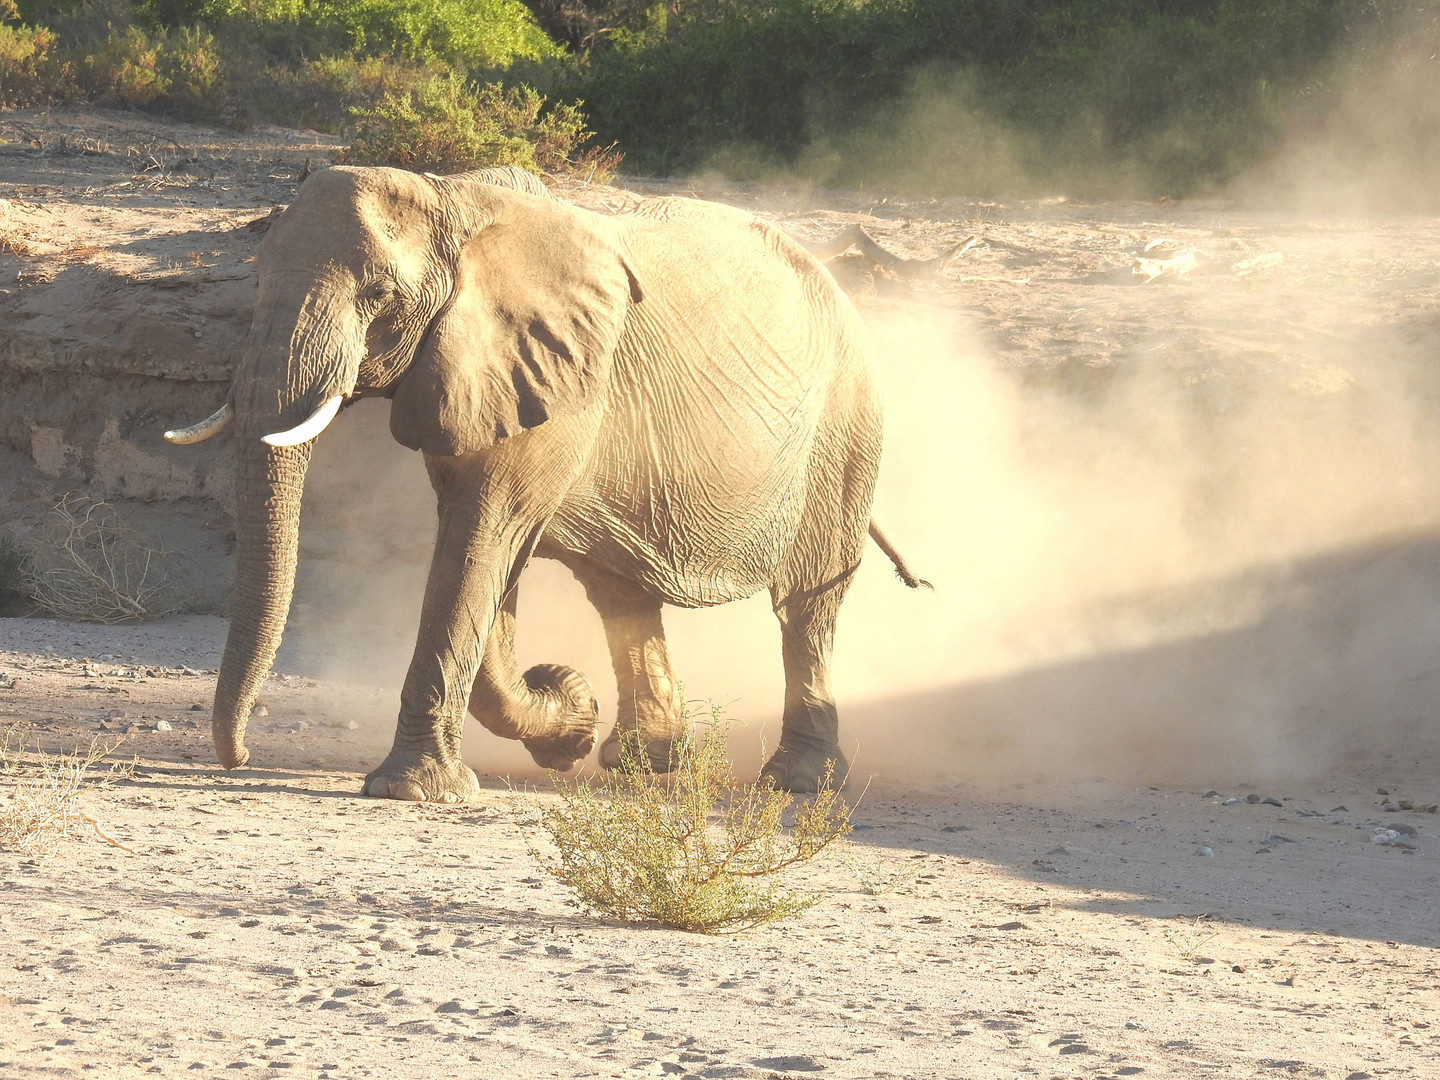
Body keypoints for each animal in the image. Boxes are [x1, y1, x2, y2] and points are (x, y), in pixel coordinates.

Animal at [165, 162, 921, 806]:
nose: (237, 759)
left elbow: (481, 542)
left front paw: (414, 789)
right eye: (258, 276)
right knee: (622, 594)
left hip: (846, 423)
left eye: (380, 296)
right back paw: (644, 761)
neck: (454, 200)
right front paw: (567, 723)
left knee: (806, 604)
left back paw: (798, 781)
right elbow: (488, 556)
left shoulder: (553, 379)